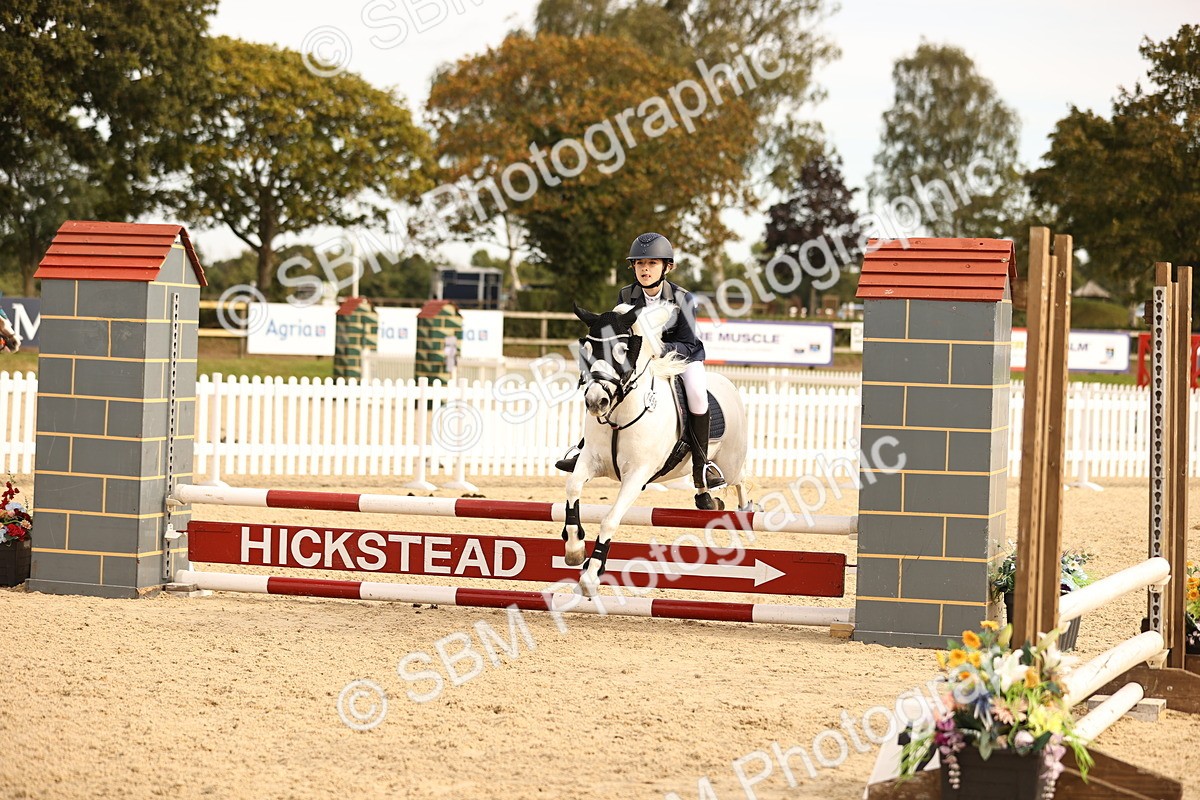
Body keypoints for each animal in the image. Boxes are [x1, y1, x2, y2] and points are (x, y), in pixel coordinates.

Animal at [562, 302, 749, 597]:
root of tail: (727, 384)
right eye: (587, 349)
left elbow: (610, 519)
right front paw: (574, 548)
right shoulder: (590, 461)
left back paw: (745, 509)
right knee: (703, 482)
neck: (620, 411)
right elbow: (572, 488)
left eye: (622, 350)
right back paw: (709, 500)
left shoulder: (637, 475)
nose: (596, 401)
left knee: (740, 478)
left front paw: (590, 577)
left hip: (730, 462)